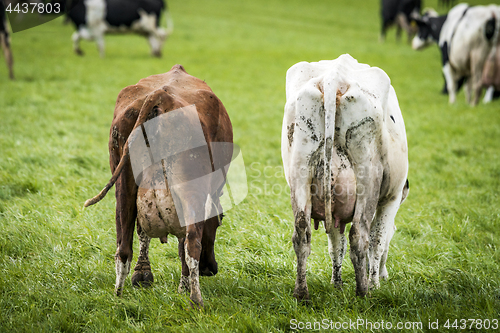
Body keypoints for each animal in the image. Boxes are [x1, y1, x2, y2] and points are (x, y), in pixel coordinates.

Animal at [85, 64, 233, 306]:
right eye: (219, 222)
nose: (211, 269)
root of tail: (161, 95)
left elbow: (141, 234)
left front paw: (142, 276)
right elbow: (184, 245)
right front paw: (182, 288)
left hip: (123, 186)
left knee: (123, 248)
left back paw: (119, 296)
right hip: (191, 190)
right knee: (192, 243)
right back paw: (196, 300)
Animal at [282, 54, 410, 298]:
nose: (385, 276)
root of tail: (334, 78)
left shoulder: (335, 212)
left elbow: (336, 246)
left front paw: (337, 284)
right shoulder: (392, 197)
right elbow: (378, 241)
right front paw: (375, 283)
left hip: (300, 169)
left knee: (301, 234)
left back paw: (301, 293)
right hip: (367, 178)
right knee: (360, 236)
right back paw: (364, 293)